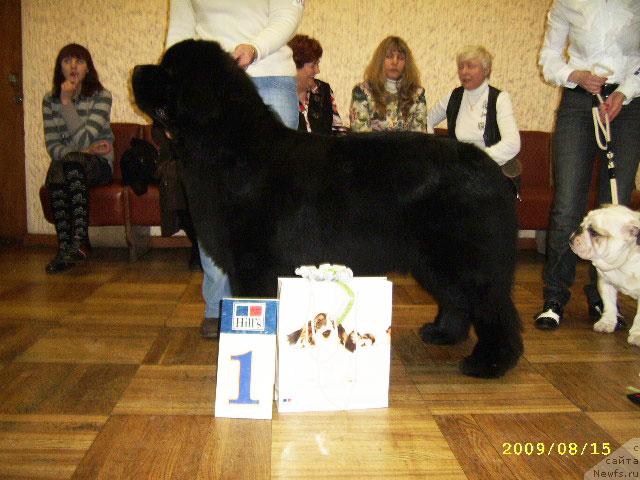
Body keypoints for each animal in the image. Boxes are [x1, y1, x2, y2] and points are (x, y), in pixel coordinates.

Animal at [132, 39, 524, 376]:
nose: (135, 69)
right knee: (457, 300)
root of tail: (490, 168)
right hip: (433, 262)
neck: (229, 145)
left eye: (169, 71)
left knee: (493, 307)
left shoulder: (253, 263)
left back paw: (490, 363)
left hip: (464, 259)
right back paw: (444, 334)